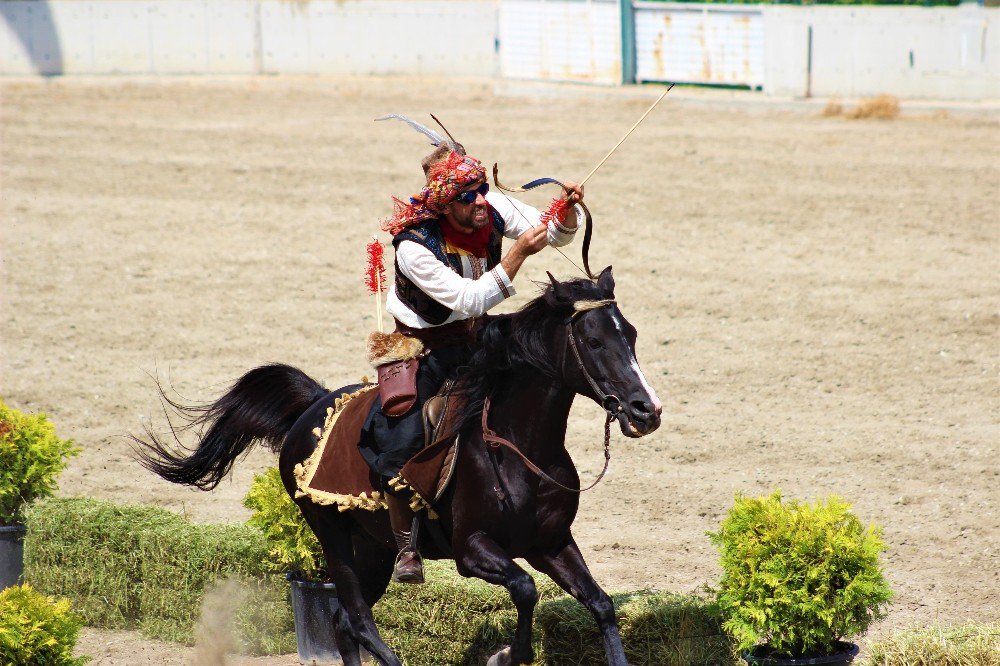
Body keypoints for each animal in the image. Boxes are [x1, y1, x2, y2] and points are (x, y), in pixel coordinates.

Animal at [135, 268, 664, 660]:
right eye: (594, 341)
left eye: (633, 334)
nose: (646, 410)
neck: (518, 448)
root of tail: (313, 405)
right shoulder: (473, 551)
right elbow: (525, 589)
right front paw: (504, 655)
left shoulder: (550, 543)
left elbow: (601, 606)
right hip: (332, 535)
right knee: (358, 620)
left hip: (374, 548)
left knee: (342, 622)